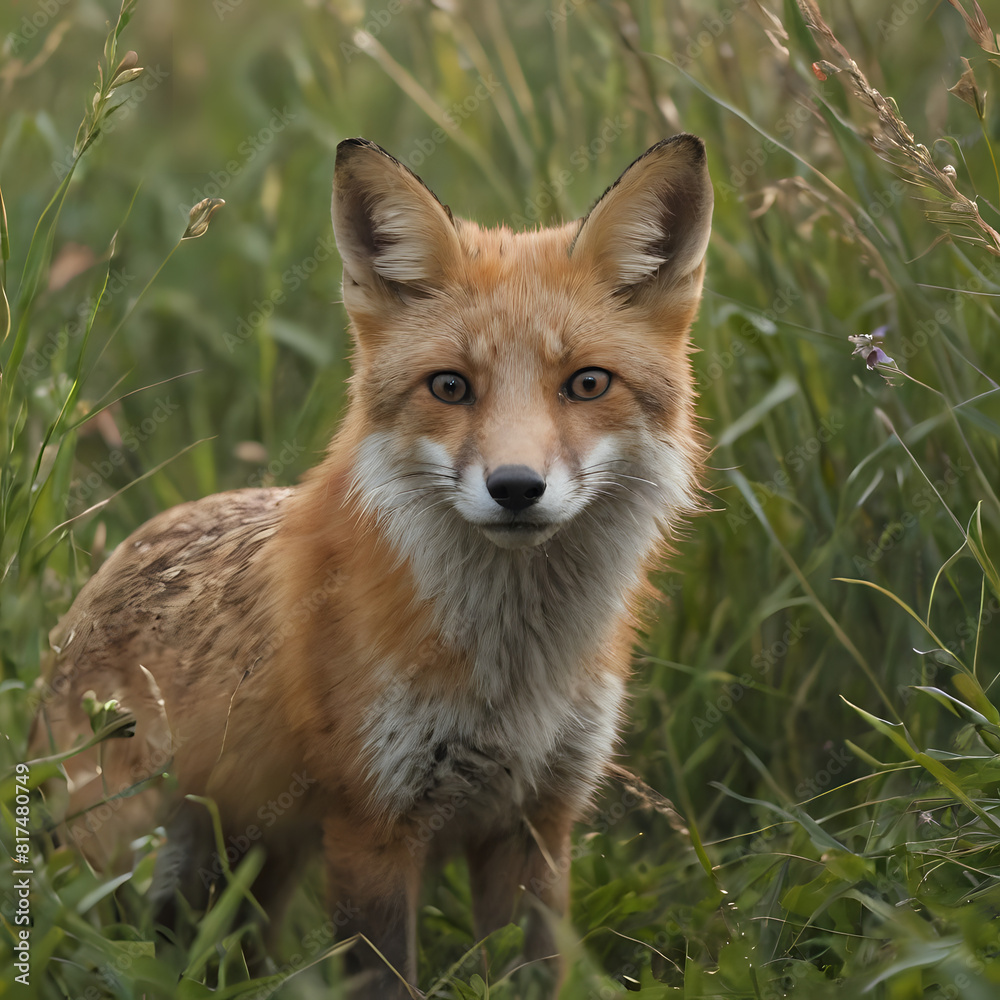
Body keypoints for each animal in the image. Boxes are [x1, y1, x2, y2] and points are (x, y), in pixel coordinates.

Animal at [30, 133, 713, 997]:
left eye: (587, 383)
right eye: (450, 386)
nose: (516, 488)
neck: (512, 672)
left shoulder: (537, 822)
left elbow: (531, 970)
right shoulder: (372, 823)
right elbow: (387, 976)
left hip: (251, 866)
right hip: (129, 864)